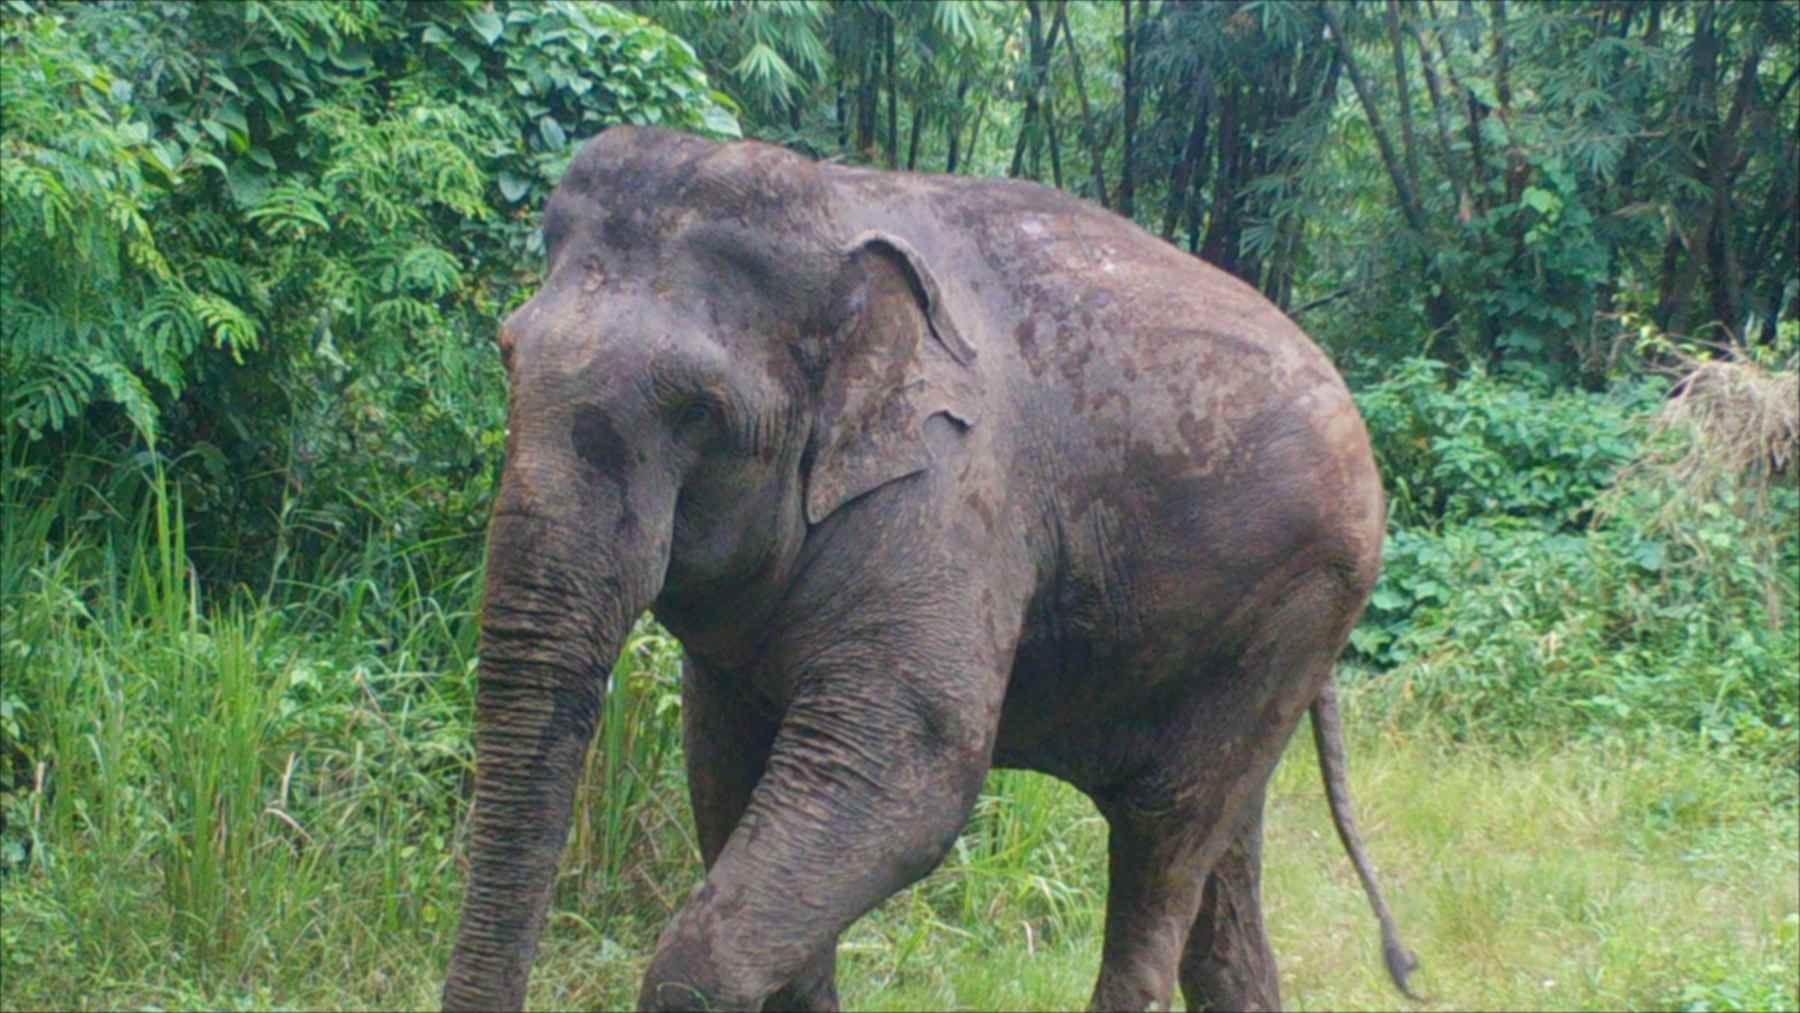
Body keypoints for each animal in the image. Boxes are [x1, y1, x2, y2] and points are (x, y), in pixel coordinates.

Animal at [442, 125, 1416, 1012]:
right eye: (506, 352)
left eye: (698, 410)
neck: (836, 203)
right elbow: (725, 774)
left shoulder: (951, 496)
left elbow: (911, 775)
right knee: (1224, 871)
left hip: (1304, 595)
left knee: (1163, 830)